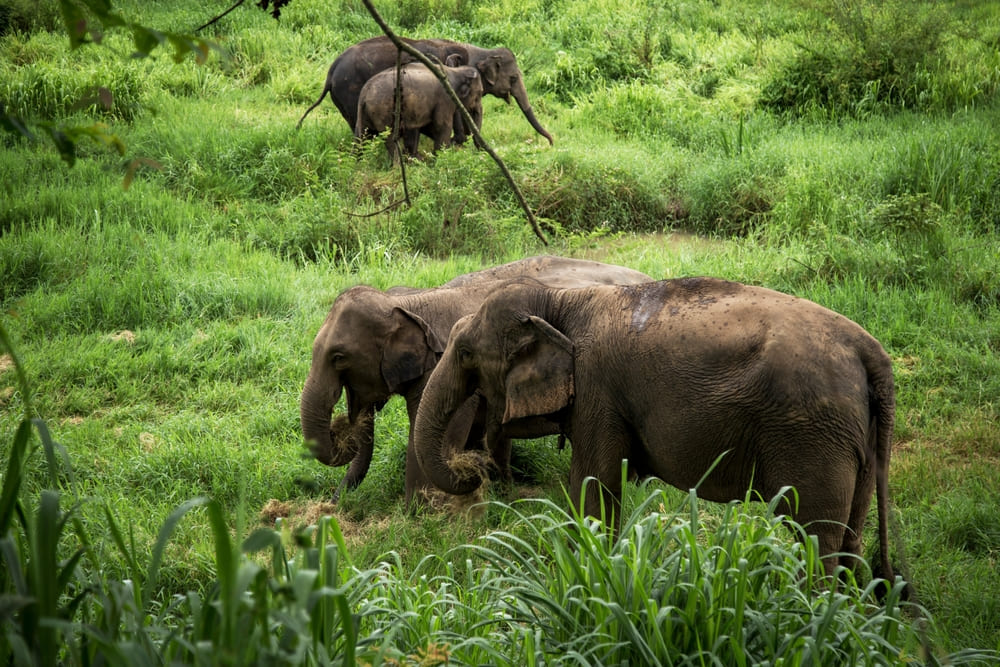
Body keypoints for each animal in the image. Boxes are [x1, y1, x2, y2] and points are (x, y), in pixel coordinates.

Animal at [294, 34, 556, 147]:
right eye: (513, 78)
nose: (551, 142)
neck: (480, 52)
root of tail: (330, 72)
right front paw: (456, 142)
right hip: (349, 92)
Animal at [356, 63, 484, 162]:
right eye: (479, 94)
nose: (479, 153)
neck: (456, 71)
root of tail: (365, 92)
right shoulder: (444, 99)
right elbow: (442, 126)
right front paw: (441, 159)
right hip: (383, 111)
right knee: (390, 138)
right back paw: (398, 166)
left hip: (364, 114)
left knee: (362, 137)